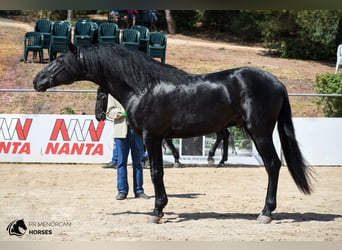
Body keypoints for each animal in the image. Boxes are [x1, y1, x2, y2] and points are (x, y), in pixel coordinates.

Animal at [33, 43, 314, 225]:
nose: (37, 81)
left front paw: (157, 211)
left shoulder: (152, 137)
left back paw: (266, 212)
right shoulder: (155, 139)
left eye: (59, 61)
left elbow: (156, 173)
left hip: (260, 131)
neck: (143, 87)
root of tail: (277, 82)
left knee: (273, 165)